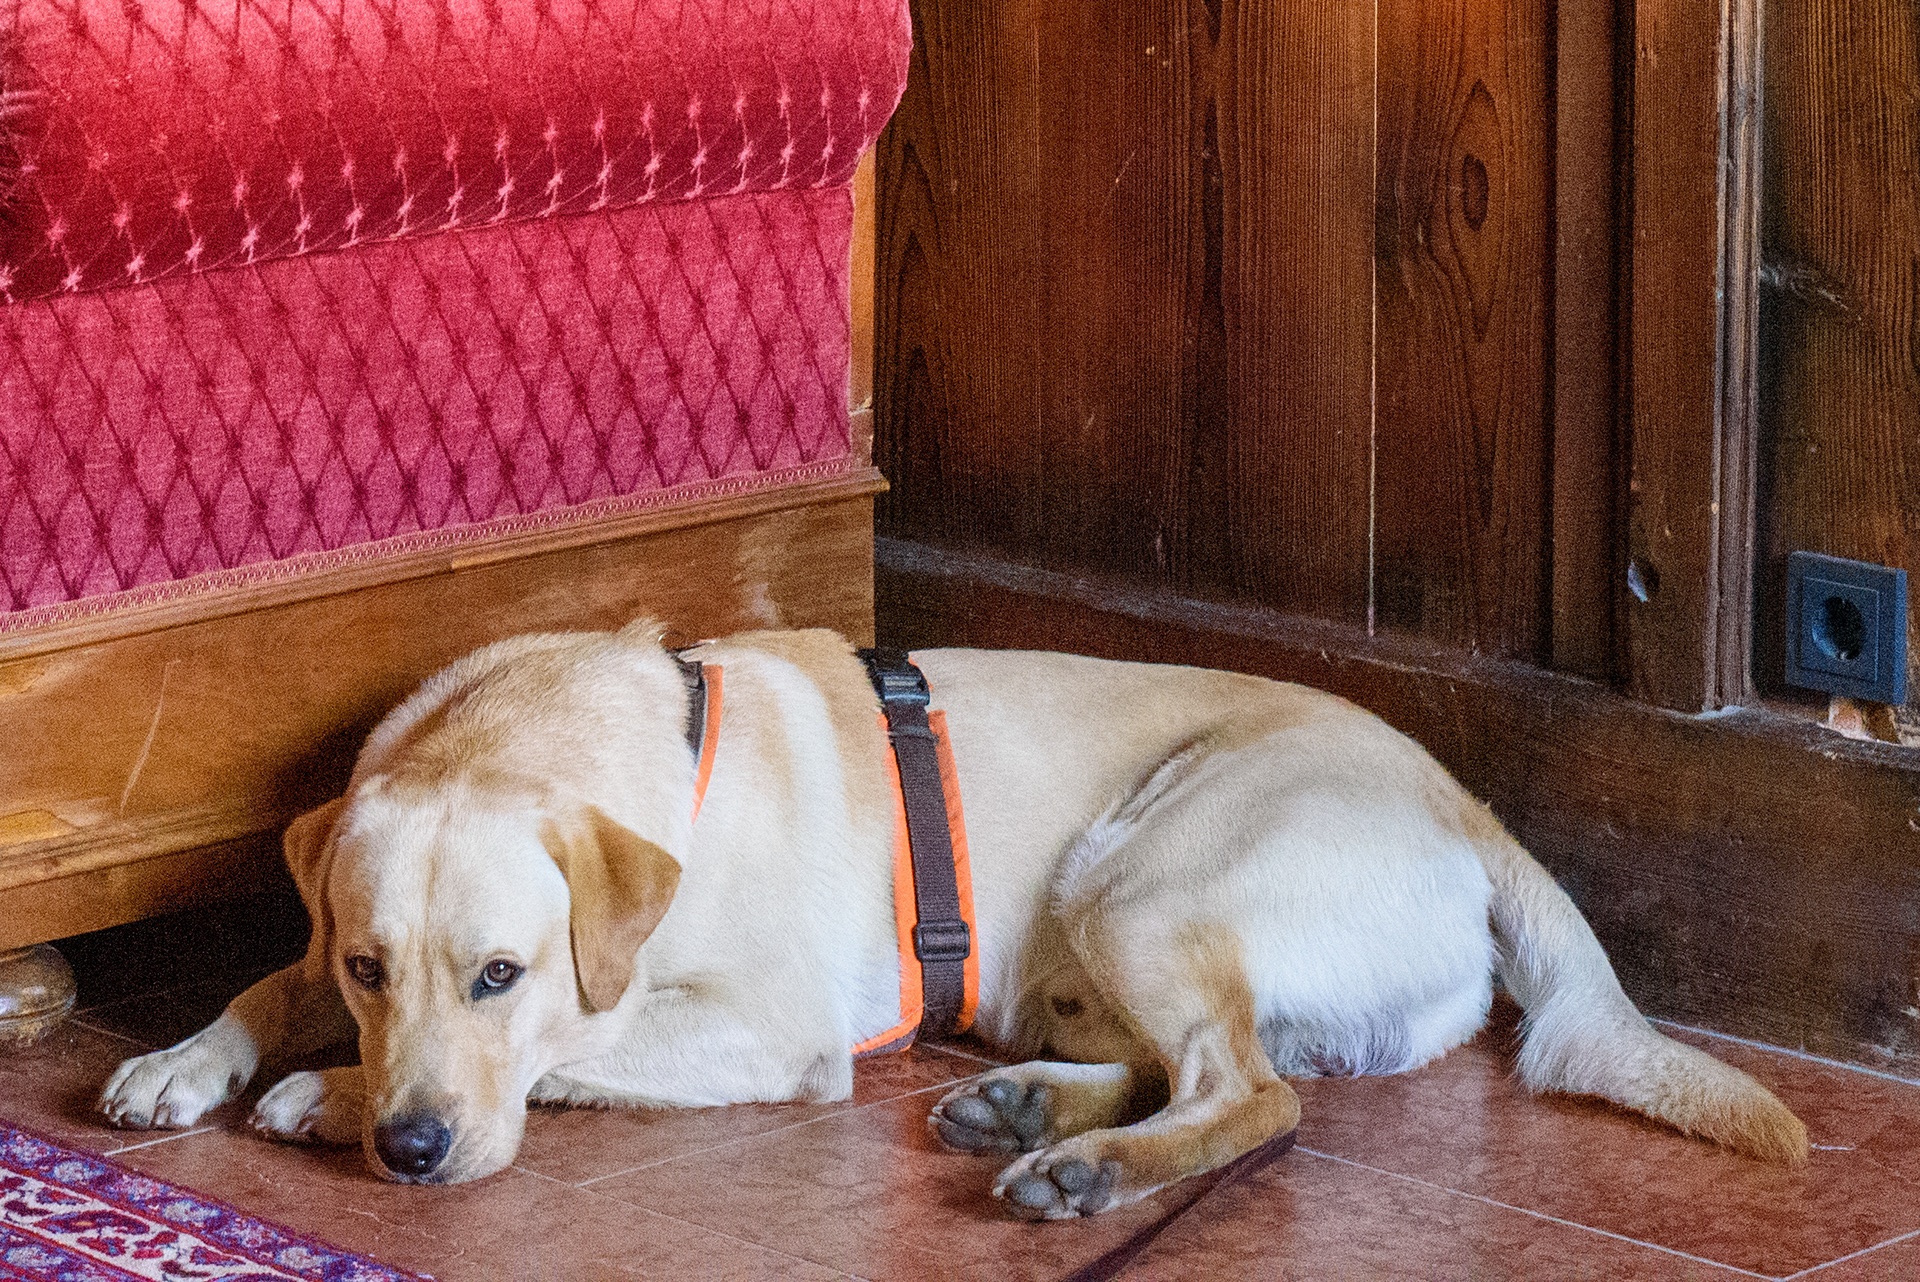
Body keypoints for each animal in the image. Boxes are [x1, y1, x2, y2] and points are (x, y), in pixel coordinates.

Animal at [100, 624, 1809, 1214]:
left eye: (502, 972)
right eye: (372, 962)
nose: (408, 1149)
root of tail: (1470, 805)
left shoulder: (766, 1025)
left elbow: (579, 1050)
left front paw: (322, 1097)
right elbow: (267, 977)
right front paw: (193, 1055)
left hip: (1145, 874)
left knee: (1251, 1095)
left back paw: (1085, 1171)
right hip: (1096, 944)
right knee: (1206, 1066)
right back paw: (1022, 1110)